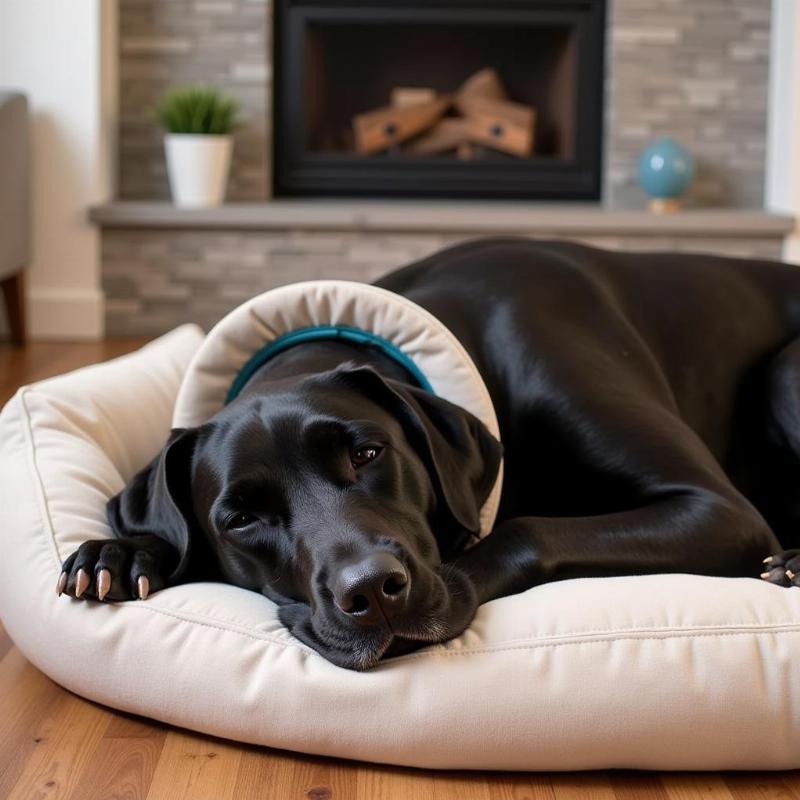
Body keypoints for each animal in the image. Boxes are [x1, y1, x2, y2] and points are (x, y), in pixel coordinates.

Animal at [56, 239, 800, 668]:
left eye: (366, 453)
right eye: (240, 519)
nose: (371, 593)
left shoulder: (716, 510)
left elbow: (525, 529)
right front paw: (121, 552)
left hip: (783, 374)